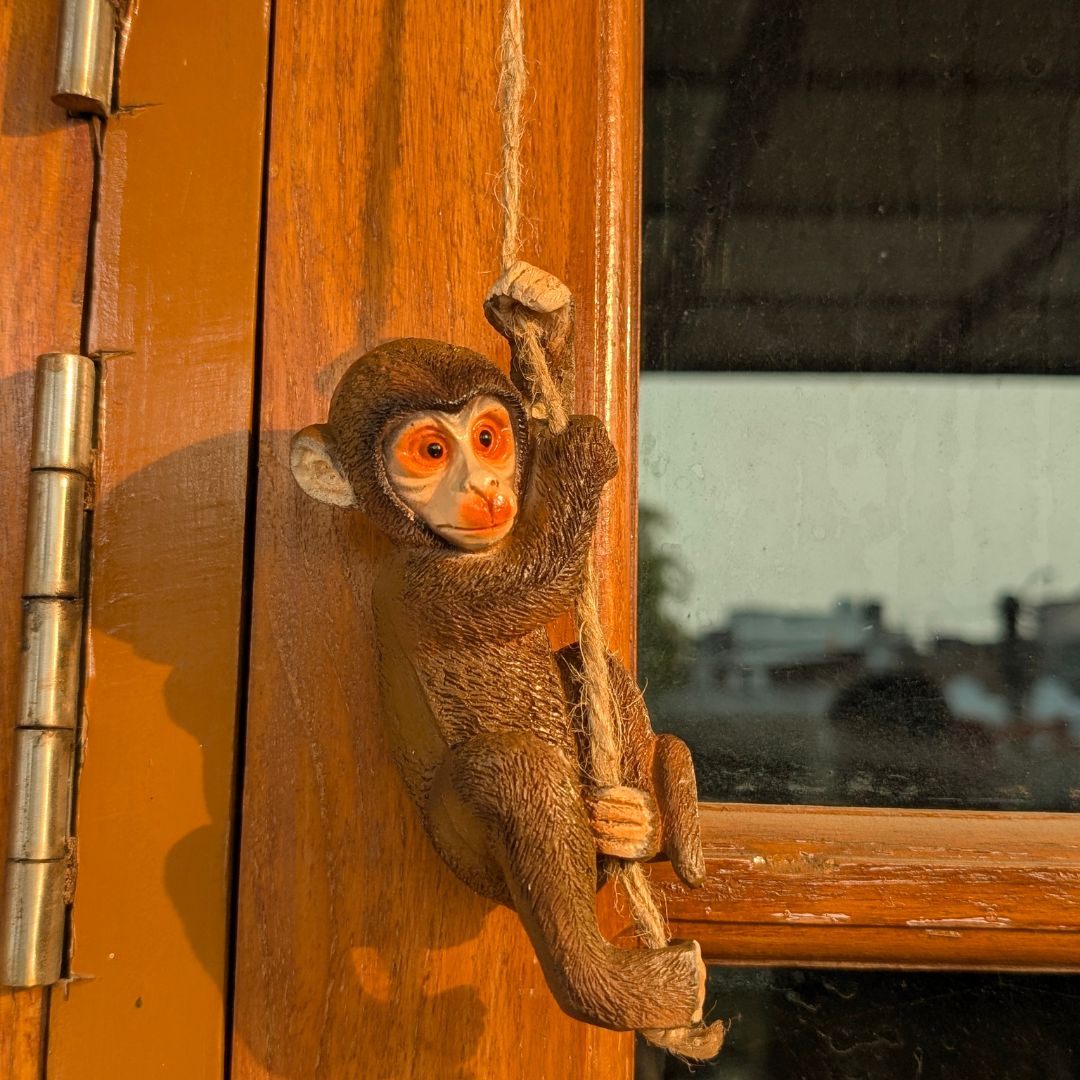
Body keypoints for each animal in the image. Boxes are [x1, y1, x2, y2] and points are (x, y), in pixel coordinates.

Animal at [290, 265, 710, 1036]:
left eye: (488, 437)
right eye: (431, 452)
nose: (485, 489)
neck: (431, 543)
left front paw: (544, 320)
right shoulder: (428, 589)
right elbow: (539, 578)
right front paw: (581, 454)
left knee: (586, 666)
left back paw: (640, 823)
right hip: (465, 849)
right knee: (519, 776)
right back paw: (628, 987)